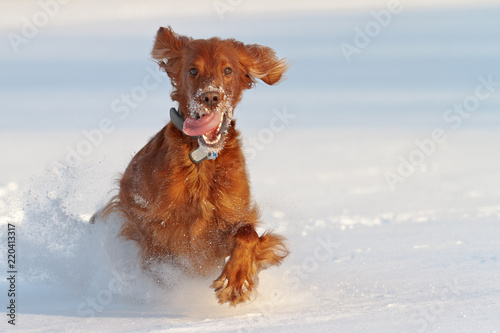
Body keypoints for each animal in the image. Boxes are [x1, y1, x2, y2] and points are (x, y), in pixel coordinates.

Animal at [100, 27, 292, 304]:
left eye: (227, 70)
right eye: (192, 71)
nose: (210, 96)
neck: (201, 160)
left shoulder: (227, 222)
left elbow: (248, 234)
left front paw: (235, 281)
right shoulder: (141, 211)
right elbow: (158, 249)